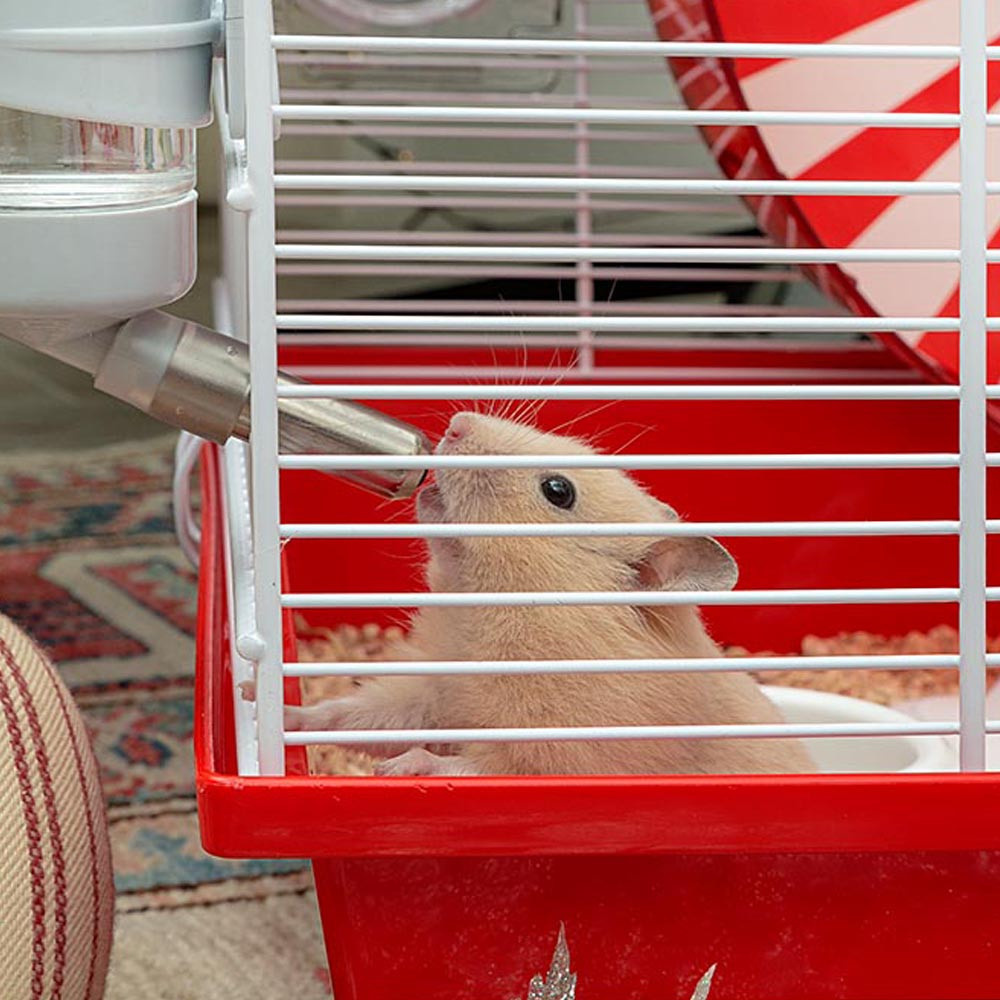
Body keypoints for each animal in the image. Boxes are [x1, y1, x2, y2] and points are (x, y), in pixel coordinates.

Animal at [289, 411, 817, 776]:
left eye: (558, 490)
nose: (457, 425)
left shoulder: (550, 751)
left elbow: (472, 764)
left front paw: (399, 767)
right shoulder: (432, 694)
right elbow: (356, 715)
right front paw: (283, 711)